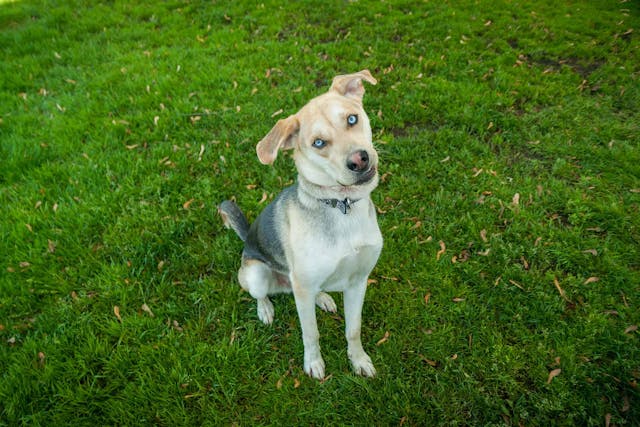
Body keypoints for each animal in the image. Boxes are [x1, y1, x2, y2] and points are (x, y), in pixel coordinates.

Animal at [218, 70, 382, 382]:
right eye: (318, 143)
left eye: (351, 119)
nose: (359, 159)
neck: (341, 206)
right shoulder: (304, 292)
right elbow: (311, 334)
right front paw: (314, 364)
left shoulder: (358, 281)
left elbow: (353, 330)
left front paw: (359, 361)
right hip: (258, 274)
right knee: (260, 294)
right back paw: (266, 310)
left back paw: (324, 298)